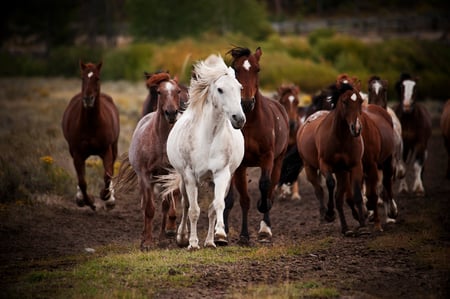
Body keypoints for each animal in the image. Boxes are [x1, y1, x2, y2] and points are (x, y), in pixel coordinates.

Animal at [62, 60, 121, 211]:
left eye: (97, 78)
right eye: (82, 78)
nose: (88, 99)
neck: (91, 124)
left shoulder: (107, 150)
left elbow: (107, 176)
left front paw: (106, 196)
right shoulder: (77, 153)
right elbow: (82, 181)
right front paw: (88, 201)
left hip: (114, 146)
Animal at [114, 72, 181, 251]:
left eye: (178, 91)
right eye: (159, 92)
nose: (171, 113)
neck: (161, 141)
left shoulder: (170, 174)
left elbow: (167, 204)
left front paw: (164, 237)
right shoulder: (145, 175)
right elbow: (150, 209)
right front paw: (149, 243)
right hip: (143, 180)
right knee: (145, 205)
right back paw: (144, 237)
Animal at [163, 54, 246, 251]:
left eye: (240, 88)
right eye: (220, 89)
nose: (239, 119)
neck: (208, 139)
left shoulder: (221, 174)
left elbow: (217, 206)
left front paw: (219, 235)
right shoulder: (190, 176)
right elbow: (193, 210)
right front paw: (192, 243)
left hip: (214, 181)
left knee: (211, 209)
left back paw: (209, 241)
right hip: (183, 180)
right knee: (185, 205)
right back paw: (182, 237)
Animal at [224, 46, 290, 244]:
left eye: (257, 69)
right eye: (236, 70)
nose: (246, 102)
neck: (251, 123)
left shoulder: (267, 156)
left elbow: (264, 185)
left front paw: (263, 217)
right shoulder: (240, 164)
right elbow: (243, 199)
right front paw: (243, 235)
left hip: (278, 160)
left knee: (271, 187)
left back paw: (265, 226)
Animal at [298, 80, 368, 237]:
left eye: (360, 101)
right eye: (344, 101)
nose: (356, 129)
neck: (341, 139)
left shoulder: (355, 166)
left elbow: (355, 194)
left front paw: (362, 225)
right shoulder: (325, 164)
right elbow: (330, 184)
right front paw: (330, 214)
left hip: (342, 172)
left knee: (340, 197)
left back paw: (346, 227)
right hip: (309, 167)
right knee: (319, 190)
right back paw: (324, 215)